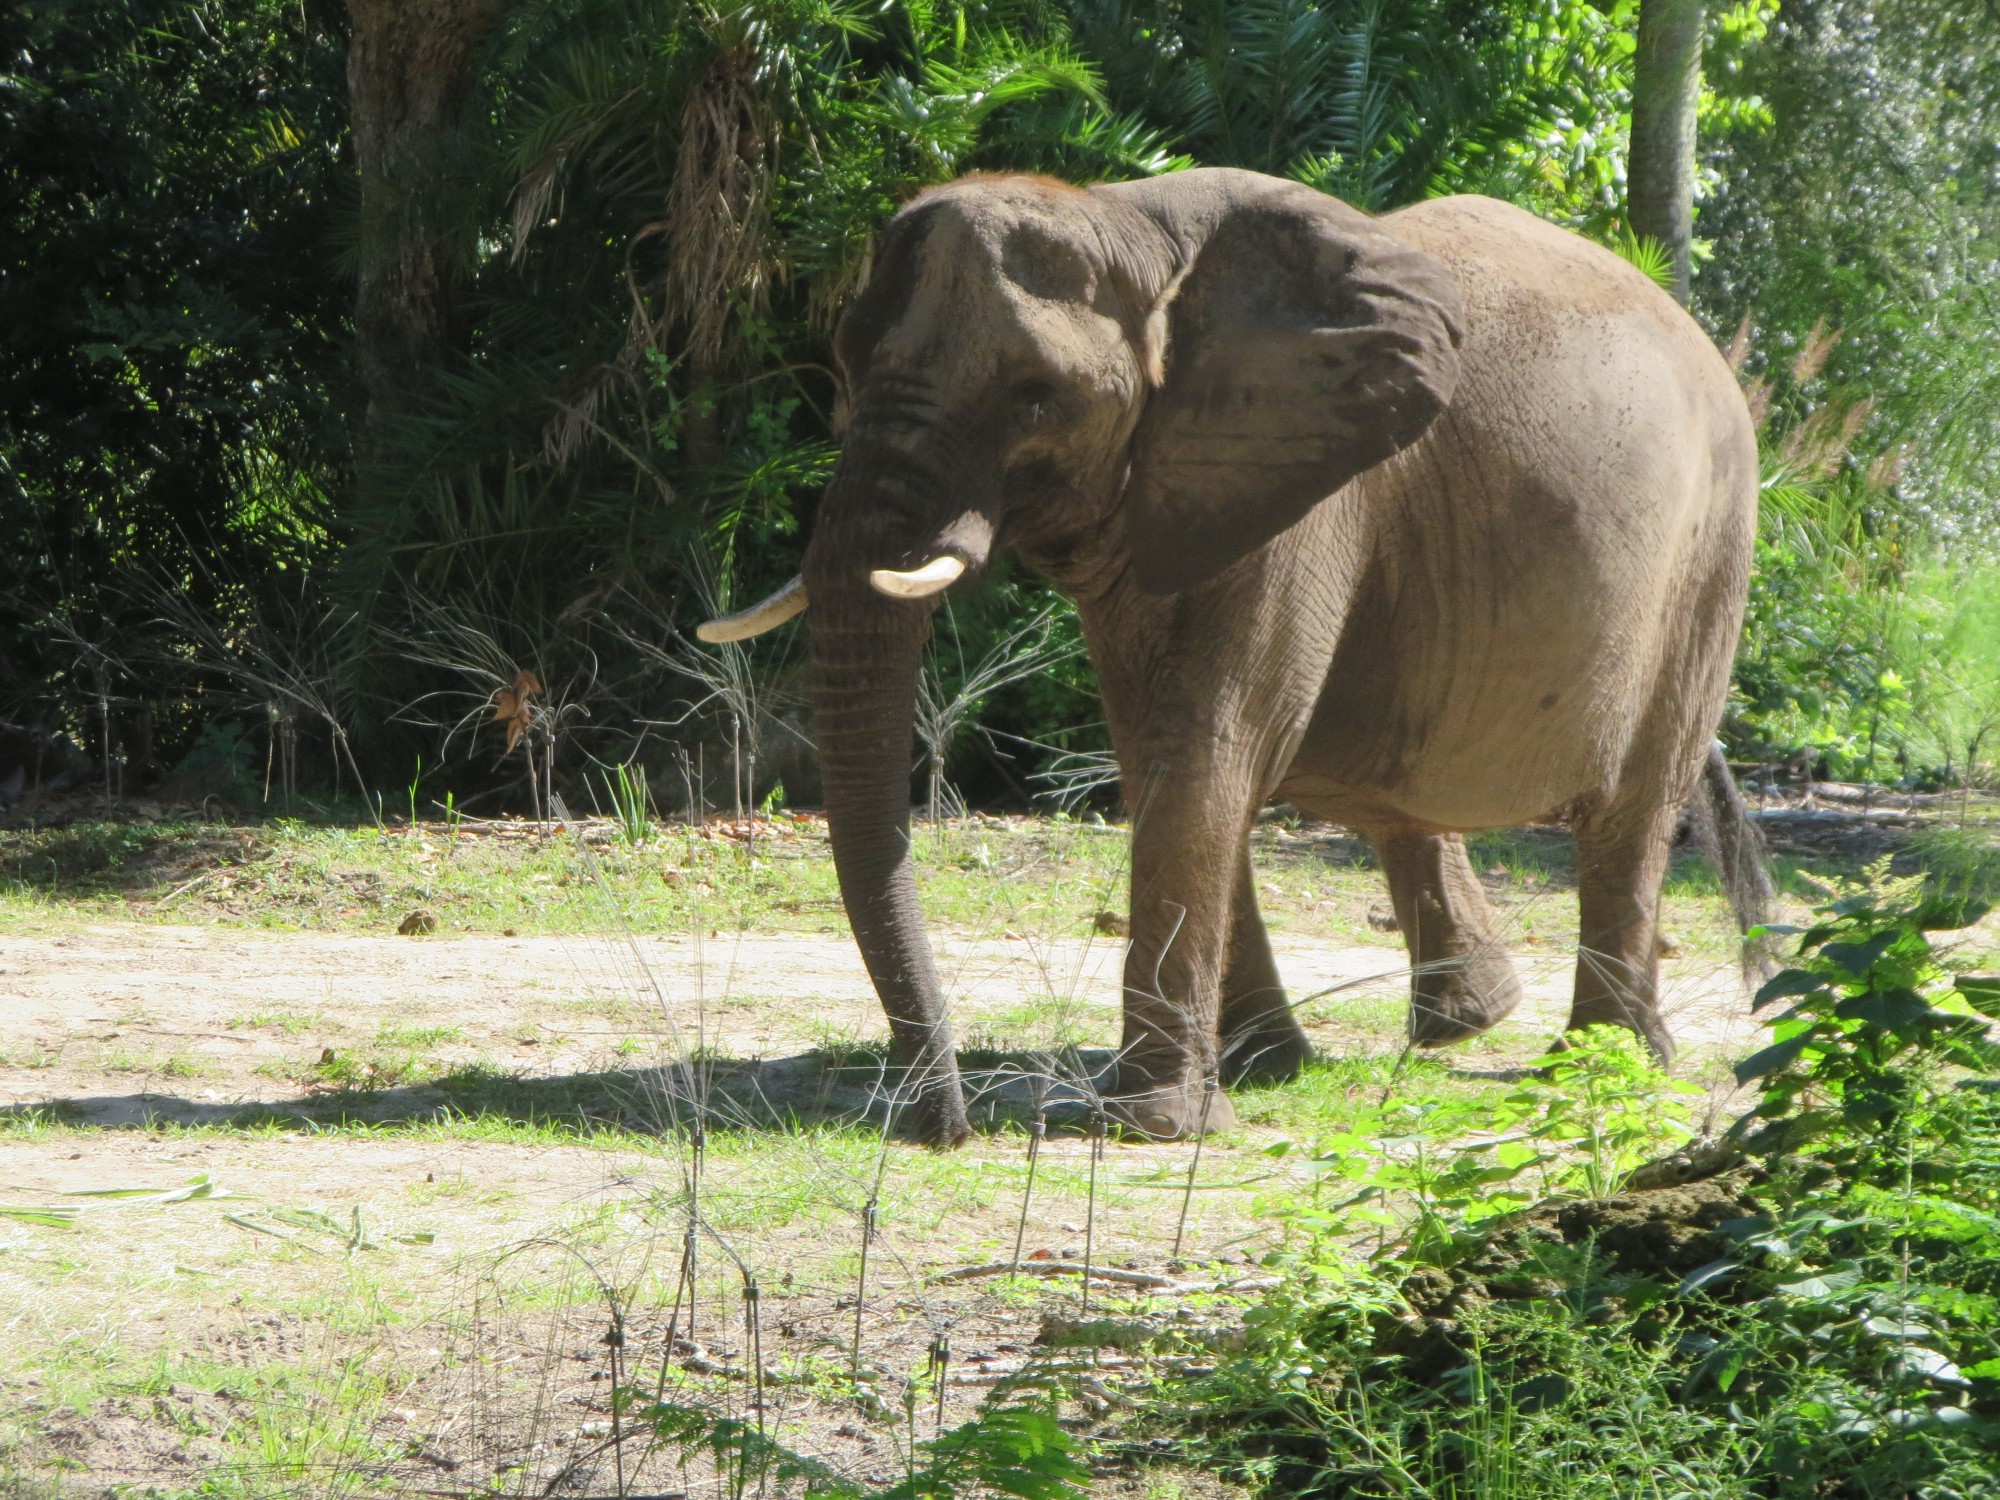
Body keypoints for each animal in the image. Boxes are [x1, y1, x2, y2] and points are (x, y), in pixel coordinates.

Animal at [700, 167, 1768, 1152]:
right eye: (844, 361)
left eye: (1038, 398)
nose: (944, 1129)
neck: (1125, 222)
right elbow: (1159, 753)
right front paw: (1263, 1074)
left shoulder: (1294, 485)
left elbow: (1208, 748)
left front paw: (1155, 1126)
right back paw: (1467, 1026)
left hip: (1713, 545)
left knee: (1634, 813)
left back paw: (1603, 1066)